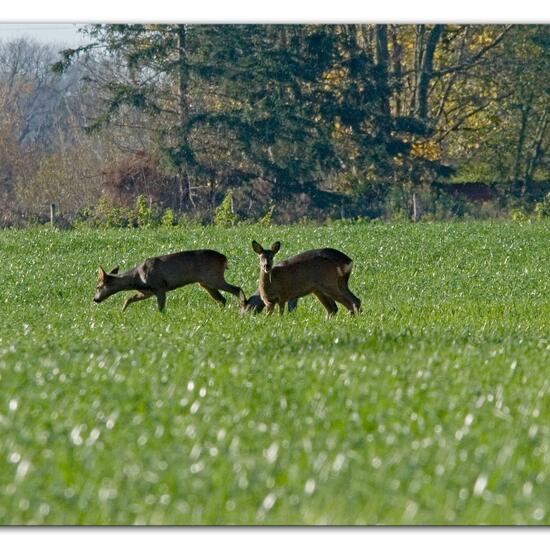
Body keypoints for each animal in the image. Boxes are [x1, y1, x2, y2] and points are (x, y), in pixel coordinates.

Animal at [94, 249, 246, 312]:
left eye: (98, 286)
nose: (95, 299)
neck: (137, 277)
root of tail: (224, 258)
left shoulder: (159, 287)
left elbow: (161, 308)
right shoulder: (147, 291)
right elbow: (129, 298)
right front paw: (122, 311)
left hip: (213, 277)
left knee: (236, 288)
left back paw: (243, 304)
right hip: (205, 283)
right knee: (222, 299)